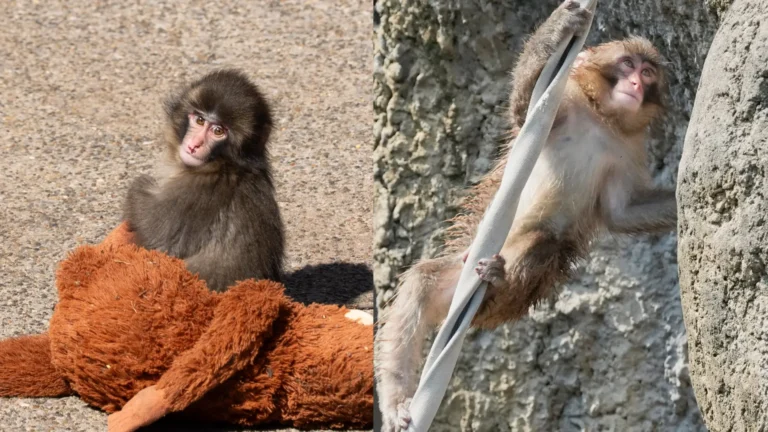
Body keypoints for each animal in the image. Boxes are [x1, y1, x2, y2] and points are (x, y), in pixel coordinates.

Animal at [124, 69, 285, 292]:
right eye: (200, 120)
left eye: (218, 131)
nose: (194, 145)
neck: (224, 164)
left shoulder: (194, 193)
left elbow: (156, 241)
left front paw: (139, 185)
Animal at [374, 1, 677, 430]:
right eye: (628, 64)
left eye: (647, 73)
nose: (635, 84)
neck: (603, 120)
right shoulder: (565, 106)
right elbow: (521, 111)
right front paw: (559, 27)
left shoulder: (630, 151)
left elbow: (620, 213)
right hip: (456, 279)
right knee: (422, 283)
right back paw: (398, 399)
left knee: (545, 243)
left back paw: (500, 282)